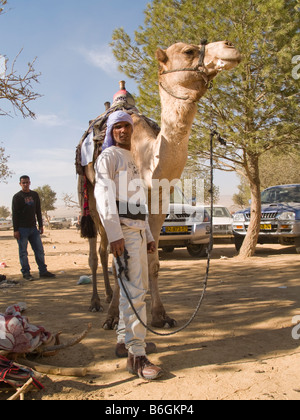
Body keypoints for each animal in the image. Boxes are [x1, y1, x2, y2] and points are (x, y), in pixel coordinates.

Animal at [77, 40, 241, 328]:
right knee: (96, 253)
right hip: (90, 196)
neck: (146, 157)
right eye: (188, 51)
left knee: (103, 249)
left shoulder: (158, 203)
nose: (229, 46)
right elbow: (118, 259)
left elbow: (152, 261)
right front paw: (113, 318)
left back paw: (108, 296)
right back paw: (97, 302)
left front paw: (160, 315)